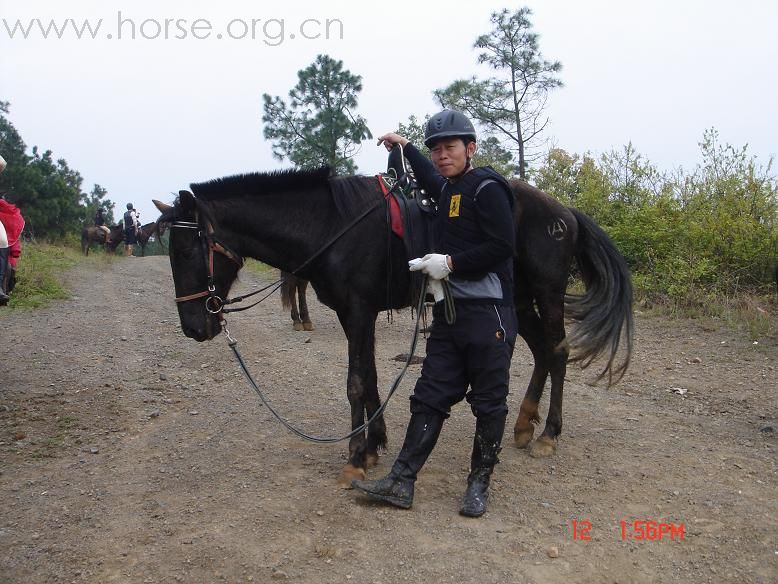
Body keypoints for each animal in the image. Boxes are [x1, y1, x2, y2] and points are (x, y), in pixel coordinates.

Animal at [152, 167, 632, 486]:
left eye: (188, 250)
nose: (194, 327)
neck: (331, 224)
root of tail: (562, 211)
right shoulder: (353, 315)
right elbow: (370, 378)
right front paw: (374, 445)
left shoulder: (359, 311)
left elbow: (355, 382)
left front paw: (354, 456)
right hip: (516, 298)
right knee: (541, 352)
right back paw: (524, 424)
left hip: (547, 295)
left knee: (558, 351)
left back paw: (548, 433)